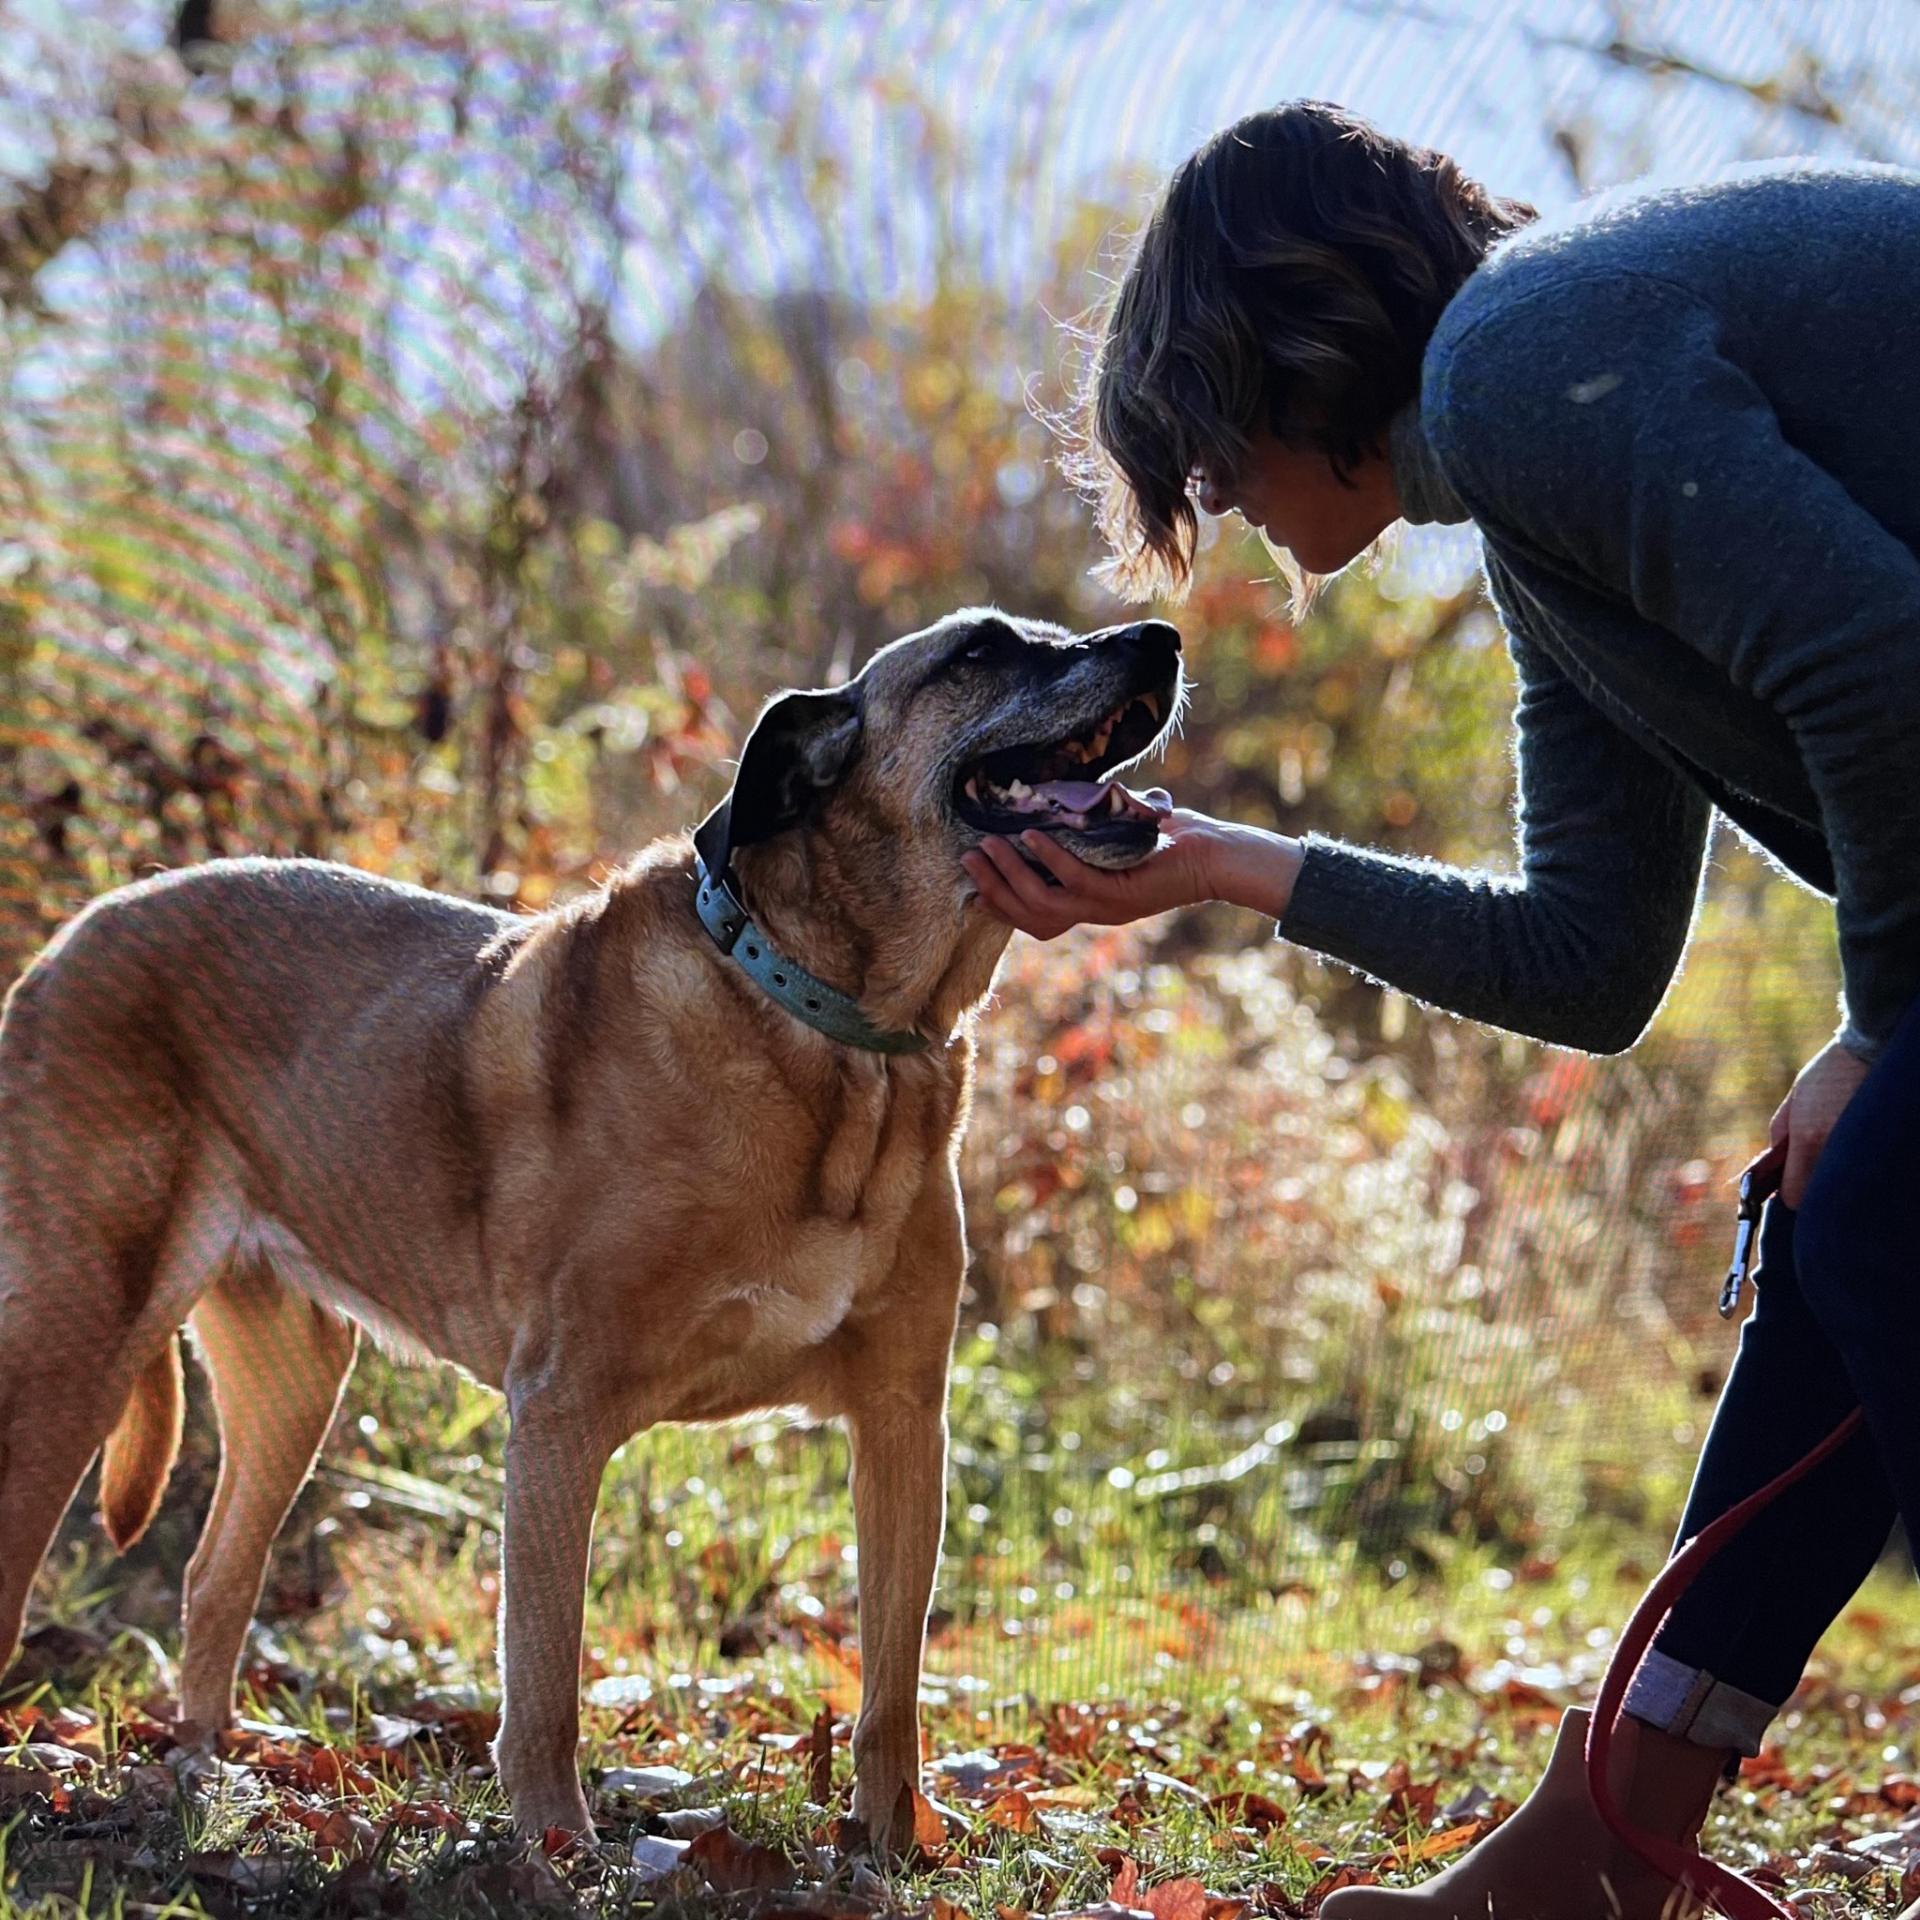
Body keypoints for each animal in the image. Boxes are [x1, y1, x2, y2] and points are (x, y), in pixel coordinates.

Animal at [0, 610, 1182, 1843]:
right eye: (981, 651)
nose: (1161, 634)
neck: (836, 1038)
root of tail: (76, 931)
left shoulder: (904, 1419)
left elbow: (891, 1690)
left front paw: (893, 1848)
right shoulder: (561, 1412)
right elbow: (545, 1676)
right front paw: (556, 1846)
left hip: (292, 1378)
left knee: (215, 1577)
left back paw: (206, 1773)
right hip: (79, 1342)